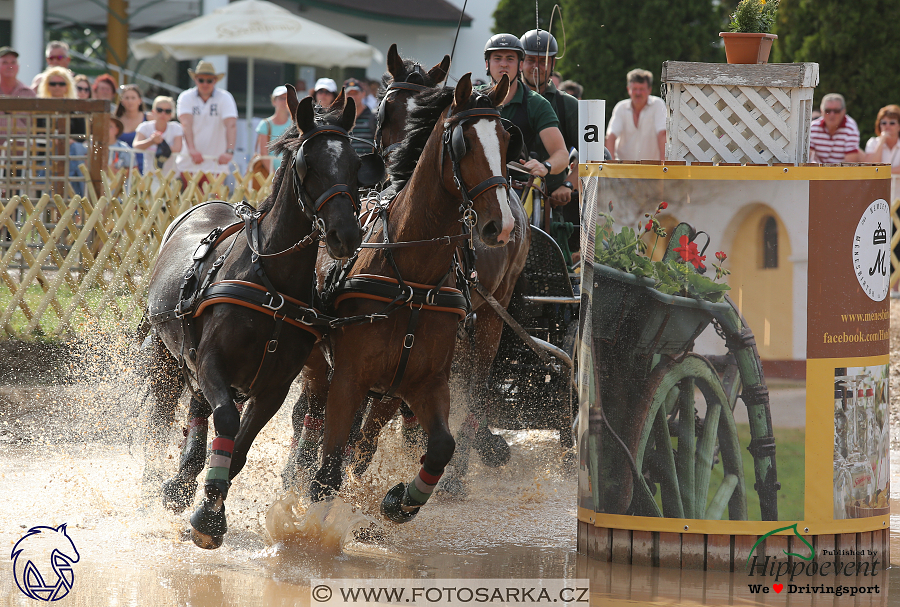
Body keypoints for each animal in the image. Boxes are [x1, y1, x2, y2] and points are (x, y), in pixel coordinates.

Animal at [140, 88, 376, 548]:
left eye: (356, 165)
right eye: (307, 164)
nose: (345, 235)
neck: (272, 282)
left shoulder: (274, 386)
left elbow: (241, 446)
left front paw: (210, 510)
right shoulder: (212, 363)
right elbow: (228, 422)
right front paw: (208, 512)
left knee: (197, 411)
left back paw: (183, 480)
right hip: (165, 355)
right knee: (161, 412)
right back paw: (158, 477)